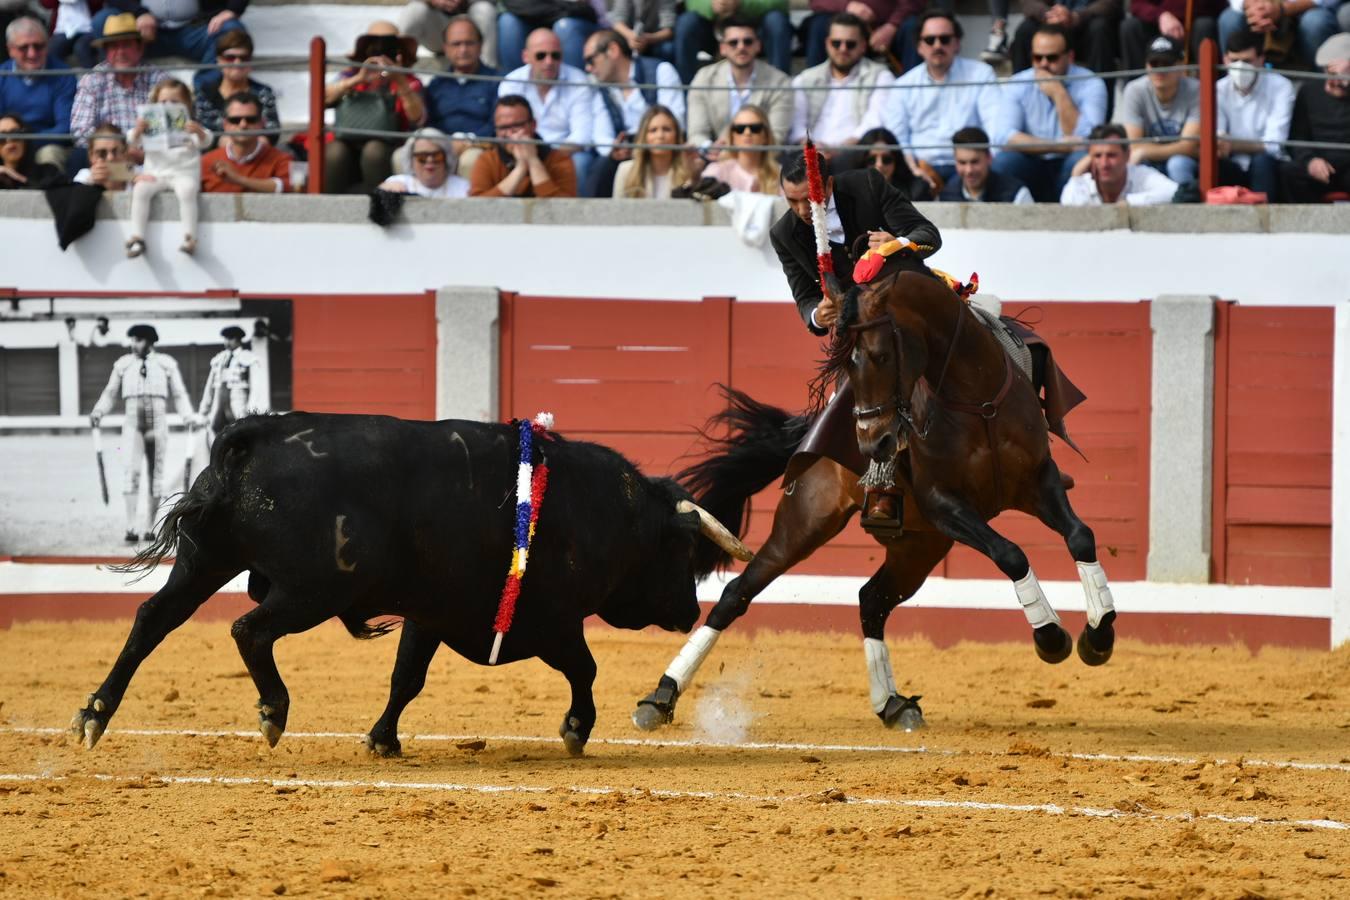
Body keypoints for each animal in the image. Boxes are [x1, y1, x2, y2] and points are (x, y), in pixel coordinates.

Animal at [71, 412, 750, 755]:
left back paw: (93, 716)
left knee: (152, 620)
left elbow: (407, 678)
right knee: (248, 629)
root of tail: (253, 437)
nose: (689, 610)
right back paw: (273, 712)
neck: (607, 512)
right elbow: (586, 669)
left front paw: (383, 740)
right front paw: (577, 730)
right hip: (311, 590)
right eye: (682, 550)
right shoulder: (549, 622)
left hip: (205, 563)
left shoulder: (432, 614)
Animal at [631, 256, 1117, 734]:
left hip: (918, 548)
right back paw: (660, 697)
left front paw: (1098, 636)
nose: (873, 444)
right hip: (808, 522)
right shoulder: (944, 503)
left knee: (872, 600)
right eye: (846, 365)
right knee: (738, 593)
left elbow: (1080, 536)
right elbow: (1011, 553)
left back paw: (893, 704)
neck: (977, 402)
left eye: (882, 356)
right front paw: (1051, 637)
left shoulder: (1039, 481)